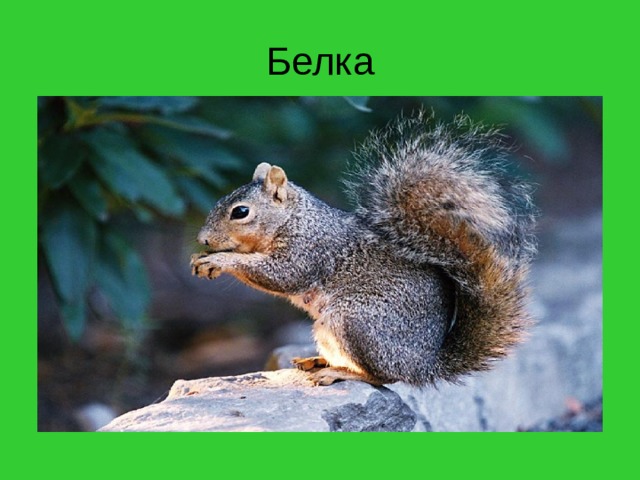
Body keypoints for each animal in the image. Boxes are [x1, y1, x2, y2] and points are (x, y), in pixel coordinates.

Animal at [190, 111, 537, 387]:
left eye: (241, 212)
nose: (203, 239)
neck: (295, 218)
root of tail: (423, 366)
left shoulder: (309, 249)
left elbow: (282, 275)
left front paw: (219, 260)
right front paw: (201, 257)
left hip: (357, 322)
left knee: (384, 377)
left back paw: (339, 373)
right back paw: (320, 361)